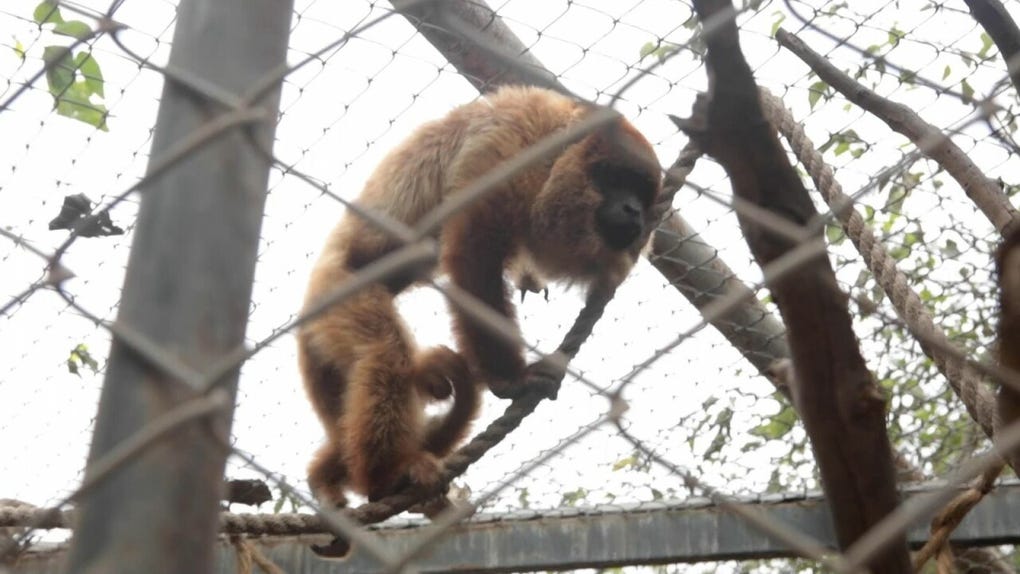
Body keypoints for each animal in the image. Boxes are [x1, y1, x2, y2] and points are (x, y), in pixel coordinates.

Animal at [298, 84, 662, 507]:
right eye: (616, 178)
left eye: (643, 193)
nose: (634, 211)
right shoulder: (511, 146)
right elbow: (474, 248)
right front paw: (511, 380)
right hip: (337, 293)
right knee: (385, 351)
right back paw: (385, 476)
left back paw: (328, 474)